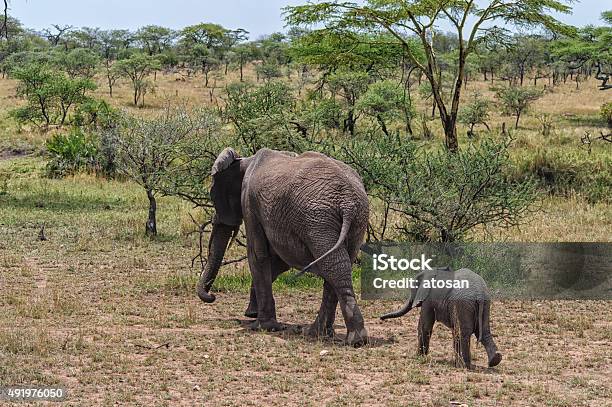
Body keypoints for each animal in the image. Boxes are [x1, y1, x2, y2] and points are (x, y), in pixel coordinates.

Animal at [196, 148, 368, 346]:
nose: (211, 296)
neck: (245, 160)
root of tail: (348, 203)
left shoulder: (249, 203)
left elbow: (258, 255)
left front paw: (262, 327)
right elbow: (279, 262)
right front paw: (253, 313)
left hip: (318, 220)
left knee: (332, 266)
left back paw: (347, 339)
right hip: (352, 220)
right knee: (337, 267)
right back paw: (324, 334)